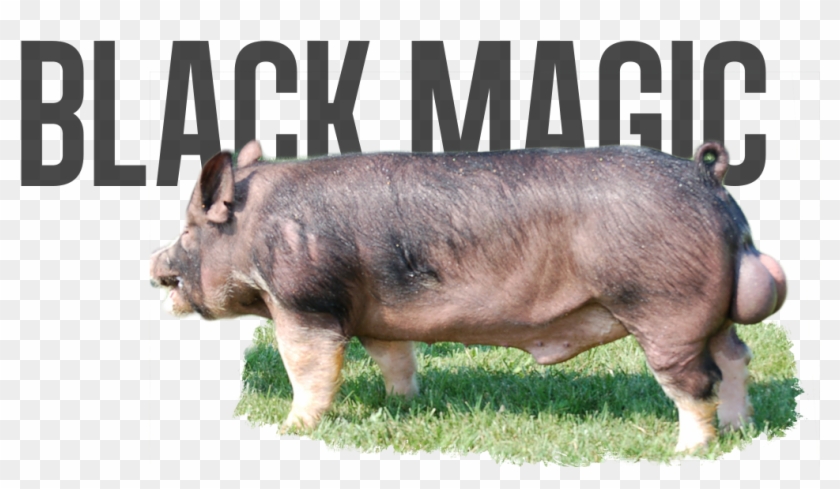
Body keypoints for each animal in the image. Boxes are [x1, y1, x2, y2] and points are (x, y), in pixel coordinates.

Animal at [149, 140, 786, 452]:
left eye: (189, 230)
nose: (155, 264)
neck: (255, 229)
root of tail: (708, 181)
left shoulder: (306, 301)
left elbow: (308, 367)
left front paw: (292, 429)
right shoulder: (375, 314)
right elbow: (395, 357)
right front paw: (402, 405)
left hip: (663, 308)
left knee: (697, 381)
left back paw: (688, 452)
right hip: (710, 317)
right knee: (736, 357)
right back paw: (739, 431)